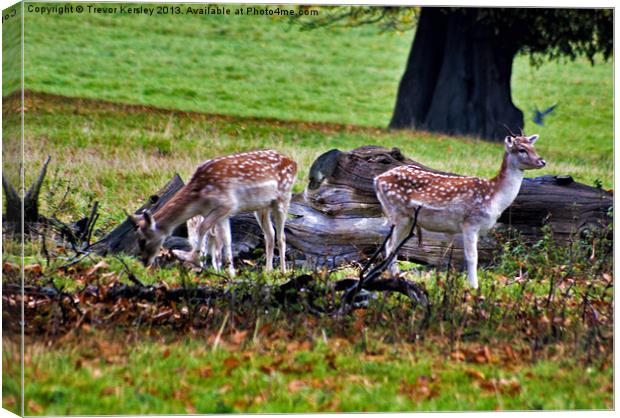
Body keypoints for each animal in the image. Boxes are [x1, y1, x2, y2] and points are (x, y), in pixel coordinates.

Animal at [128, 149, 298, 276]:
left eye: (142, 239)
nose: (144, 261)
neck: (199, 199)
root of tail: (294, 163)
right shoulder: (221, 213)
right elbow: (225, 239)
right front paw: (229, 273)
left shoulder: (227, 204)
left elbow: (203, 228)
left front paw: (198, 260)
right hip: (261, 207)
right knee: (270, 234)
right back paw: (268, 271)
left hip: (283, 197)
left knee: (281, 236)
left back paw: (283, 272)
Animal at [372, 134, 544, 288]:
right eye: (522, 149)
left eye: (533, 147)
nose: (542, 161)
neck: (494, 197)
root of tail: (377, 180)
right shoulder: (470, 222)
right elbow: (472, 257)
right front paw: (474, 287)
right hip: (398, 213)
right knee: (390, 246)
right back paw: (396, 278)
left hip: (406, 219)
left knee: (392, 246)